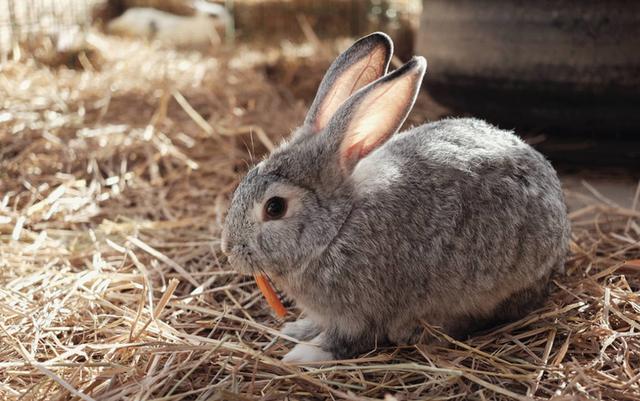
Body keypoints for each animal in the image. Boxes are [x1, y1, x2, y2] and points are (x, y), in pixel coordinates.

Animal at [220, 32, 568, 362]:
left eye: (275, 207)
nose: (229, 250)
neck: (336, 229)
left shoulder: (361, 313)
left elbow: (345, 340)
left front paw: (303, 354)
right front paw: (296, 329)